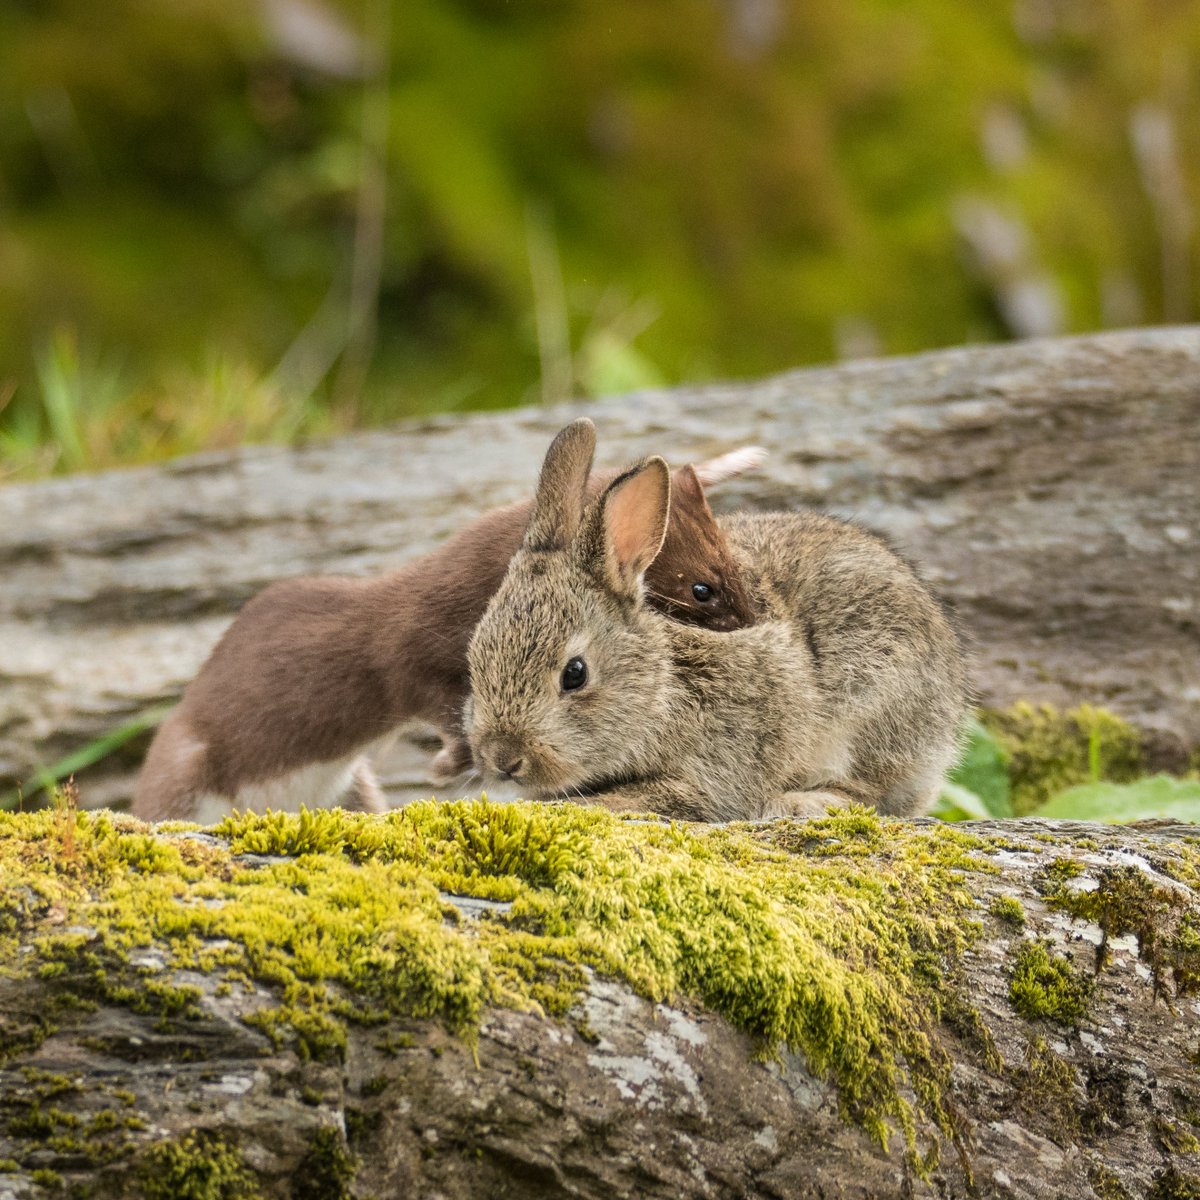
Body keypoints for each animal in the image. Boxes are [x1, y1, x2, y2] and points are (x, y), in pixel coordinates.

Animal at [131, 444, 766, 824]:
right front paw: (451, 765)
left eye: (736, 562)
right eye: (703, 588)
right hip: (184, 765)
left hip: (352, 785)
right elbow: (444, 708)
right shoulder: (415, 657)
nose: (757, 619)